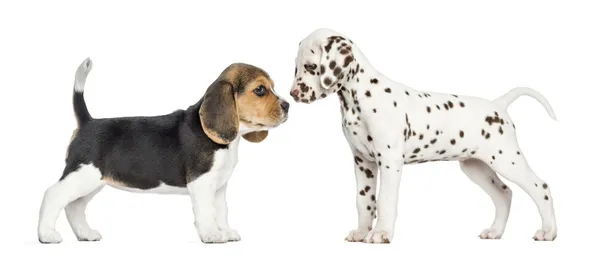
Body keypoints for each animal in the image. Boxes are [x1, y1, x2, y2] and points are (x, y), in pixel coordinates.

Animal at [37, 58, 290, 244]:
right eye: (260, 90)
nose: (287, 105)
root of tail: (87, 122)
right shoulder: (202, 183)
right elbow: (206, 212)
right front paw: (211, 235)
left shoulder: (219, 186)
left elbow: (221, 210)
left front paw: (225, 231)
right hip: (82, 175)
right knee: (52, 195)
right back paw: (46, 235)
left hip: (92, 181)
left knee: (74, 206)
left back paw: (85, 234)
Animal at [290, 28, 556, 244]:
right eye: (296, 67)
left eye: (311, 67)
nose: (293, 94)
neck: (360, 97)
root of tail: (498, 105)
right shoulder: (362, 162)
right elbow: (364, 201)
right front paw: (361, 232)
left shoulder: (389, 161)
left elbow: (384, 200)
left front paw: (381, 233)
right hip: (476, 167)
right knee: (504, 193)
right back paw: (495, 231)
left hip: (507, 160)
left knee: (540, 187)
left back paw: (548, 231)